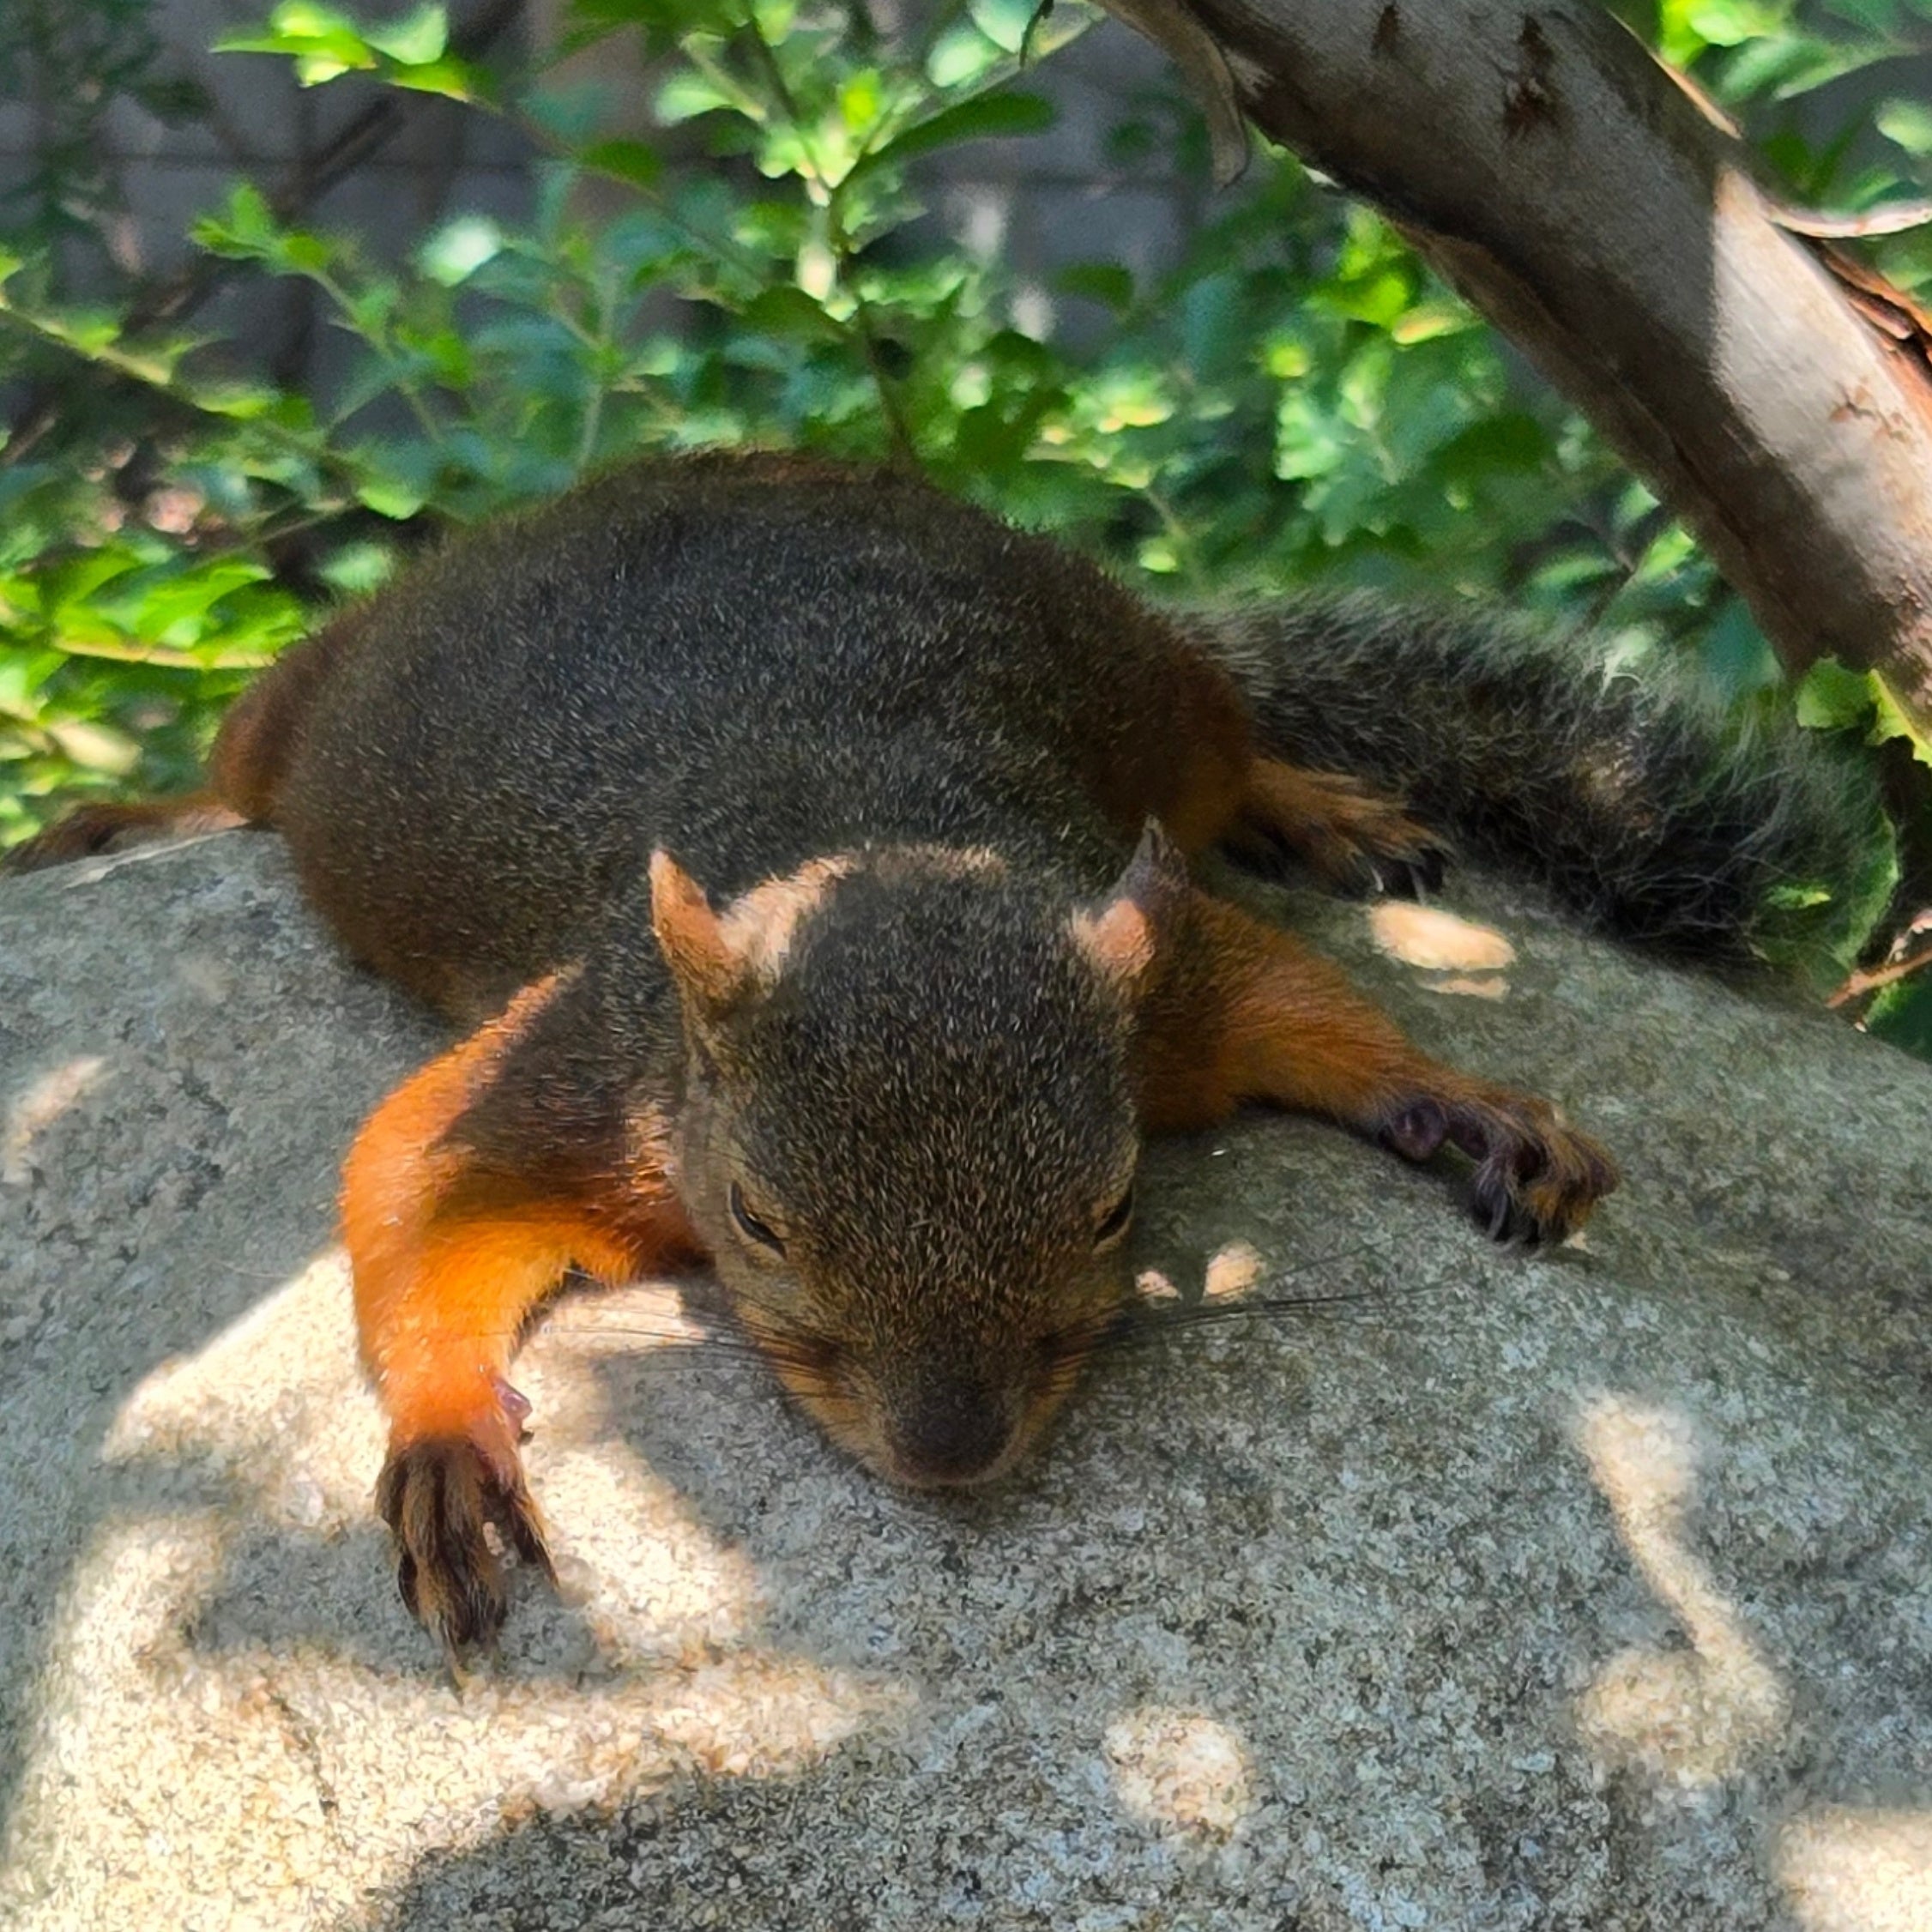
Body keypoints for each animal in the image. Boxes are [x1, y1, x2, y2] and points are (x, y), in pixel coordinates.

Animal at [3, 450, 1884, 1655]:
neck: (866, 838)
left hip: (1129, 664)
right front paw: (454, 1447)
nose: (951, 1447)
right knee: (231, 773)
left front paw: (1475, 1106)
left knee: (1233, 744)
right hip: (315, 696)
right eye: (761, 1223)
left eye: (1114, 1207)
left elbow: (1306, 1010)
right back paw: (116, 817)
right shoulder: (577, 1064)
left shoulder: (1155, 968)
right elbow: (417, 1178)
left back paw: (1323, 804)